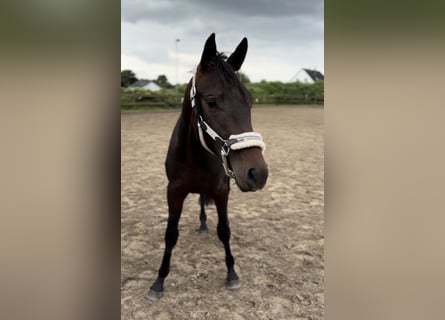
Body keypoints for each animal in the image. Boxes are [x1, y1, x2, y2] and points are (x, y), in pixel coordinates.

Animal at [148, 33, 268, 302]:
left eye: (250, 101)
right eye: (212, 101)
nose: (257, 173)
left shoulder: (222, 191)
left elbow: (224, 230)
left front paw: (232, 274)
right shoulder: (174, 192)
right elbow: (170, 234)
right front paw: (158, 281)